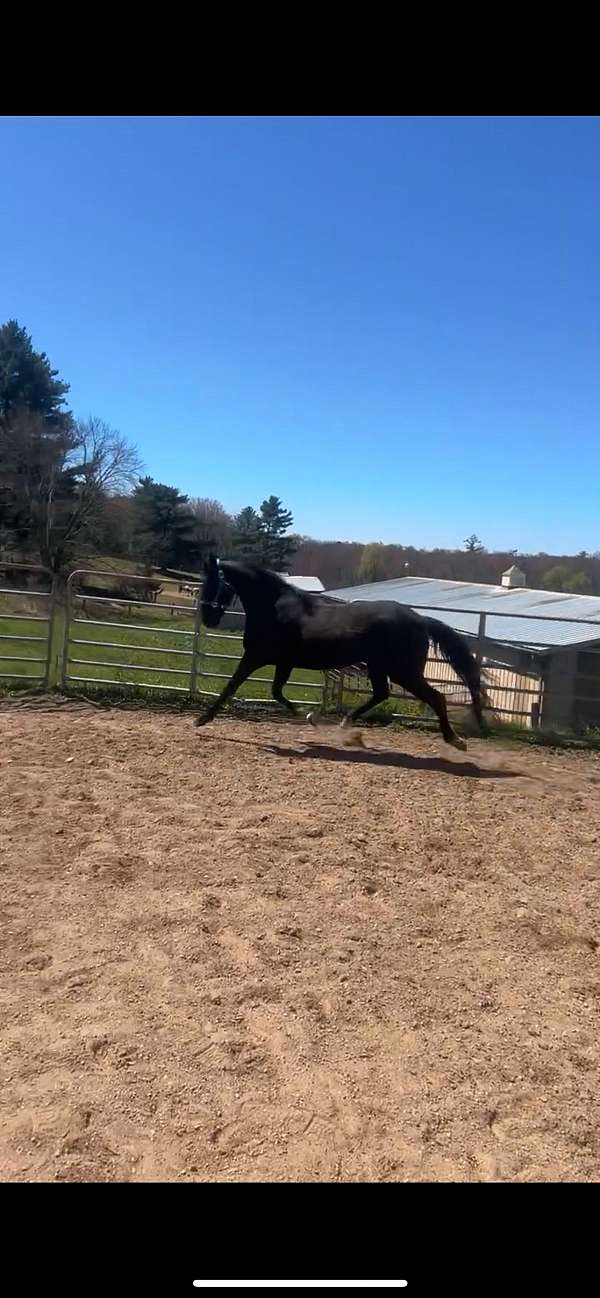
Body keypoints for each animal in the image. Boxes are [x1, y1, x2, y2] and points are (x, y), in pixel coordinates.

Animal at [196, 556, 488, 749]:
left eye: (216, 584)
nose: (208, 618)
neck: (275, 608)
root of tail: (421, 619)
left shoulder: (255, 658)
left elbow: (232, 685)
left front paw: (201, 720)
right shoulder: (284, 663)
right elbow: (276, 692)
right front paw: (309, 716)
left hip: (403, 671)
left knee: (435, 697)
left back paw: (455, 740)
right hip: (380, 667)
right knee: (382, 693)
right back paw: (346, 723)